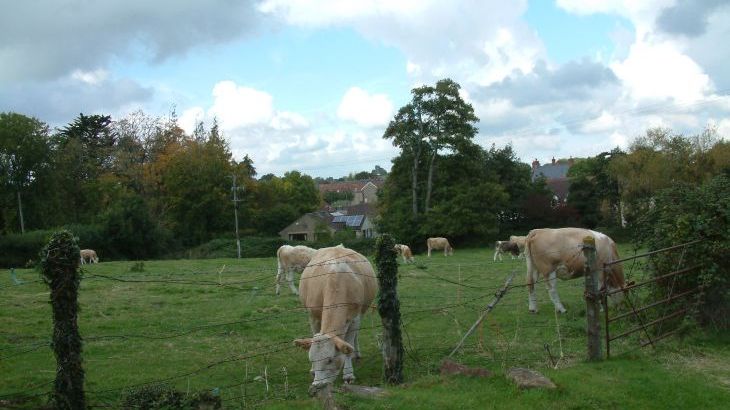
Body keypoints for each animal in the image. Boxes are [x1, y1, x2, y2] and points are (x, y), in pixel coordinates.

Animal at [290, 245, 376, 392]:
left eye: (329, 360)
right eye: (311, 359)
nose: (317, 385)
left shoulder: (354, 319)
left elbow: (348, 346)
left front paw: (348, 375)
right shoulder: (313, 317)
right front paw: (312, 370)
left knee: (355, 338)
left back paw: (357, 353)